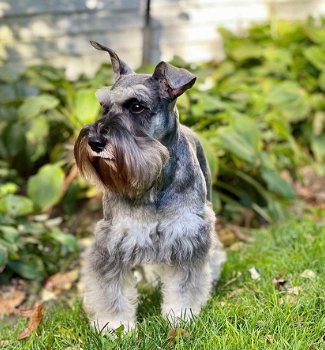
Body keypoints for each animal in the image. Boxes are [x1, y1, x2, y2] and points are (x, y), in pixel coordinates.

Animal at [74, 42, 225, 332]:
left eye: (136, 106)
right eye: (104, 106)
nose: (95, 141)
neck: (153, 184)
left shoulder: (188, 234)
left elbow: (185, 283)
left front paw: (181, 315)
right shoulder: (114, 240)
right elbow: (111, 289)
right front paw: (115, 326)